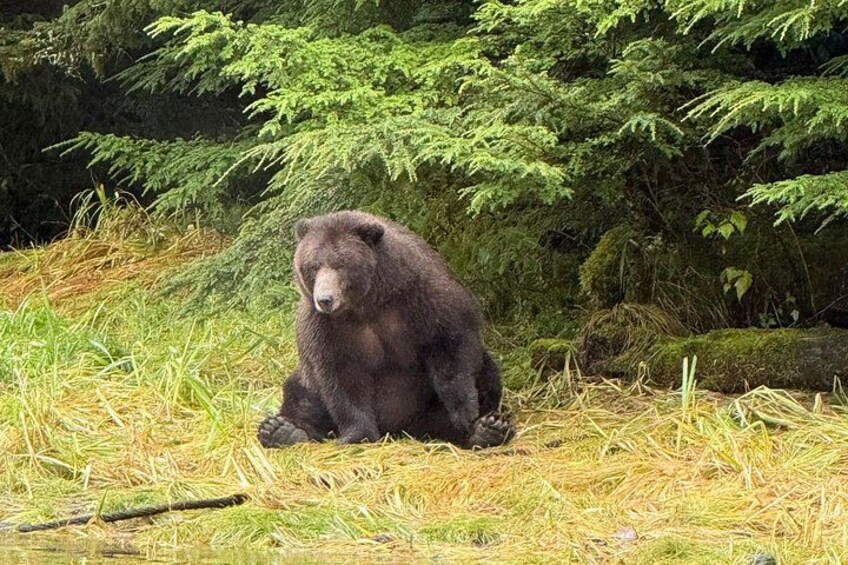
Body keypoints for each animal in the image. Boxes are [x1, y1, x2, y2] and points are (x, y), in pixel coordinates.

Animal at [257, 210, 515, 449]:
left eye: (340, 264)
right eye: (313, 266)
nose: (325, 299)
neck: (368, 304)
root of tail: (401, 430)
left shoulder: (423, 297)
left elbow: (452, 346)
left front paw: (466, 413)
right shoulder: (327, 328)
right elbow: (342, 379)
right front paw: (357, 435)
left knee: (488, 373)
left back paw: (488, 429)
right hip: (308, 381)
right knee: (300, 395)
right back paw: (281, 430)